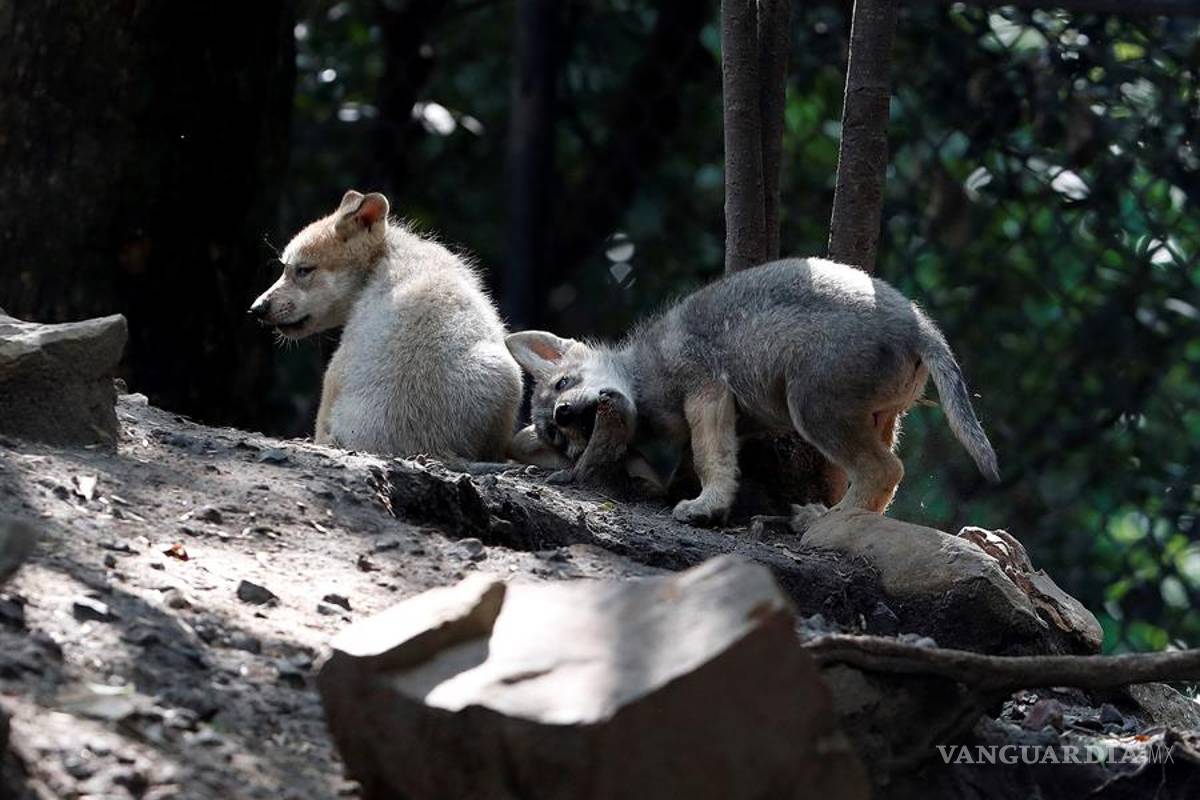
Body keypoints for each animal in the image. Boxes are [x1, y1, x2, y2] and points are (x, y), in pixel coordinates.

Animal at [506, 257, 999, 526]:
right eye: (559, 439)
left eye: (563, 383)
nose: (566, 413)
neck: (644, 372)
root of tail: (921, 328)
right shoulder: (725, 418)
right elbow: (705, 460)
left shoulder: (706, 391)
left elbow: (709, 459)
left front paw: (705, 506)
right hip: (879, 418)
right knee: (881, 479)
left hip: (812, 409)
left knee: (885, 470)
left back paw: (824, 521)